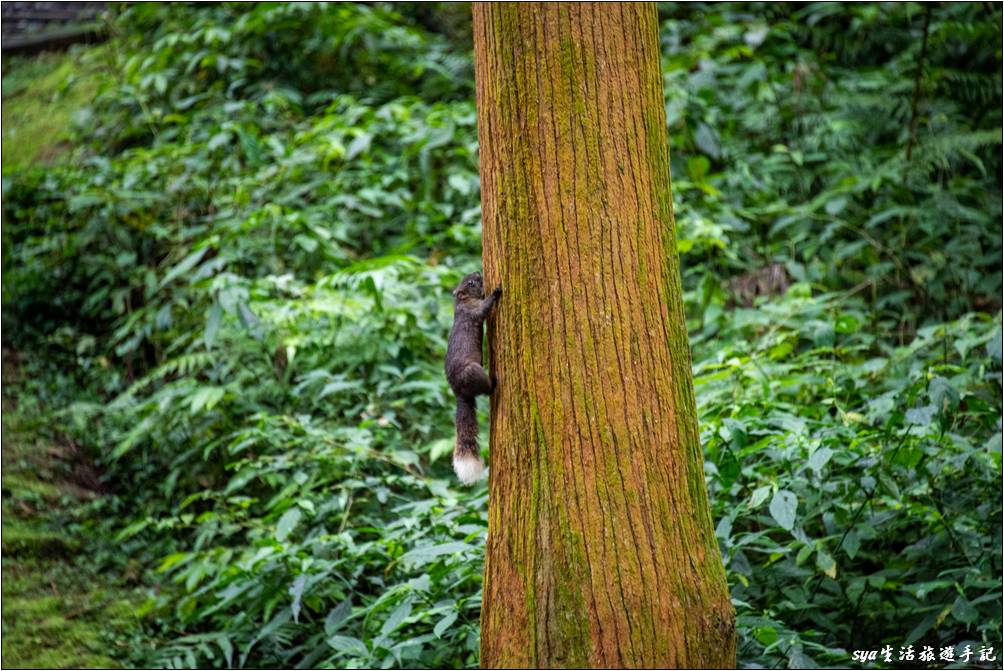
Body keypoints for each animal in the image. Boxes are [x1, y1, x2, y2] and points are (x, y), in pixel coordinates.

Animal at [445, 273, 499, 488]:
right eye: (471, 283)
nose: (478, 273)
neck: (462, 301)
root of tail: (458, 391)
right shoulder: (473, 311)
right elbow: (484, 308)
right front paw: (496, 292)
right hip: (473, 372)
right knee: (486, 389)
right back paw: (494, 382)